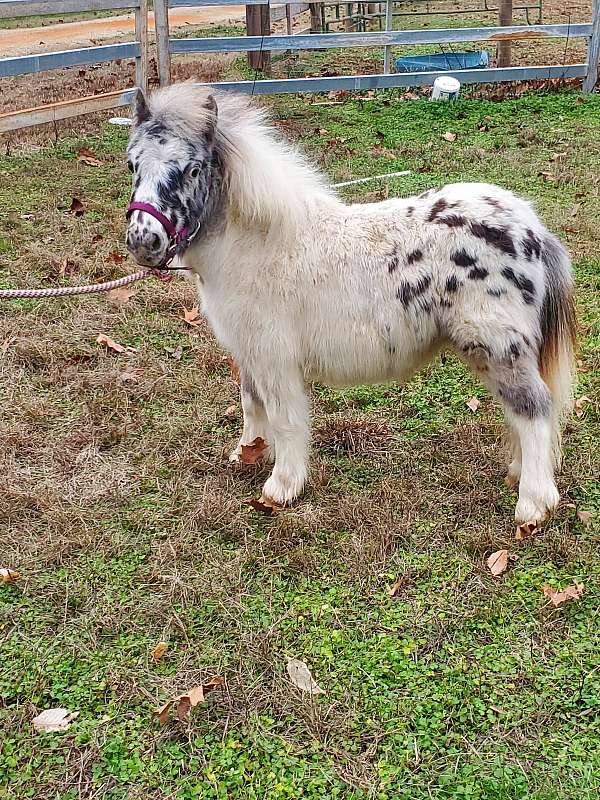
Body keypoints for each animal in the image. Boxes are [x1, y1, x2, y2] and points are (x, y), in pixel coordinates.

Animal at [125, 83, 576, 525]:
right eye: (132, 165)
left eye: (192, 169)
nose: (144, 241)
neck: (257, 244)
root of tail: (533, 229)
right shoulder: (249, 351)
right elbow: (252, 404)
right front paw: (247, 454)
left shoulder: (274, 357)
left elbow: (285, 419)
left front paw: (282, 487)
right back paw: (518, 474)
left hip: (498, 347)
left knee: (534, 409)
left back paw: (533, 504)